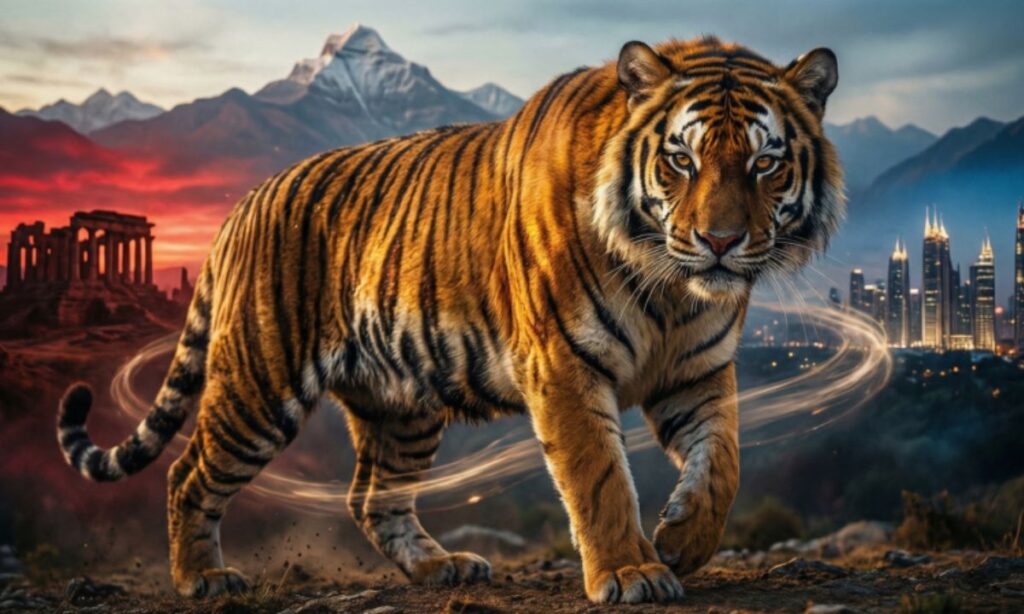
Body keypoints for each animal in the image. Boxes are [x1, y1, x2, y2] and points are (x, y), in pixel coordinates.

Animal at [56, 35, 842, 604]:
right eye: (681, 160)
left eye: (765, 164)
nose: (720, 241)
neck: (675, 291)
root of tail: (244, 203)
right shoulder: (564, 366)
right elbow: (599, 478)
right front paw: (630, 572)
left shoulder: (697, 373)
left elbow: (724, 463)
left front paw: (682, 539)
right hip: (259, 385)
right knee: (186, 472)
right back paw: (202, 579)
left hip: (402, 406)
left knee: (372, 498)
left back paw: (441, 568)